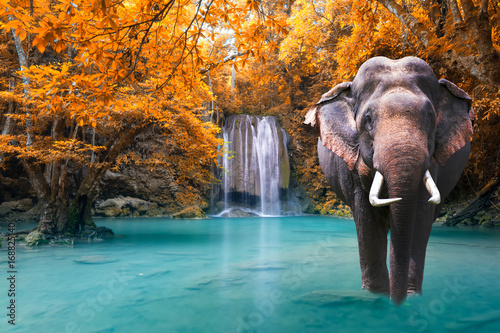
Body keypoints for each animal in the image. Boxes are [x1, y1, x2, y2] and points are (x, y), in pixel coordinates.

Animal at [304, 55, 472, 302]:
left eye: (430, 117)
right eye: (368, 119)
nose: (397, 303)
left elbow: (420, 218)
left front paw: (412, 297)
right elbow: (367, 221)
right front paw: (378, 296)